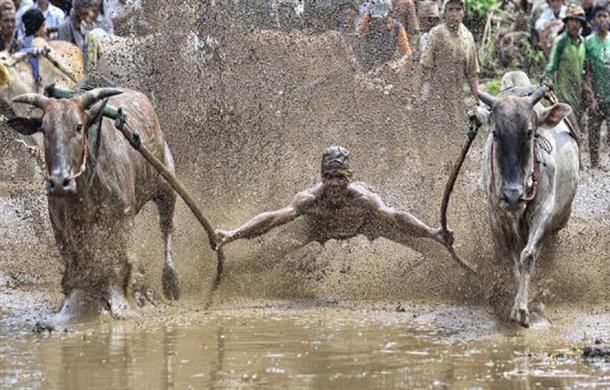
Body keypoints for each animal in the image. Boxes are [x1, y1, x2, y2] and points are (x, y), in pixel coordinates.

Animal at [7, 87, 178, 320]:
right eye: (43, 128)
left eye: (79, 126)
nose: (59, 182)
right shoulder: (61, 226)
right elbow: (75, 261)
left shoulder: (122, 218)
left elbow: (117, 261)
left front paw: (118, 302)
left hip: (167, 186)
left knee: (166, 228)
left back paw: (171, 280)